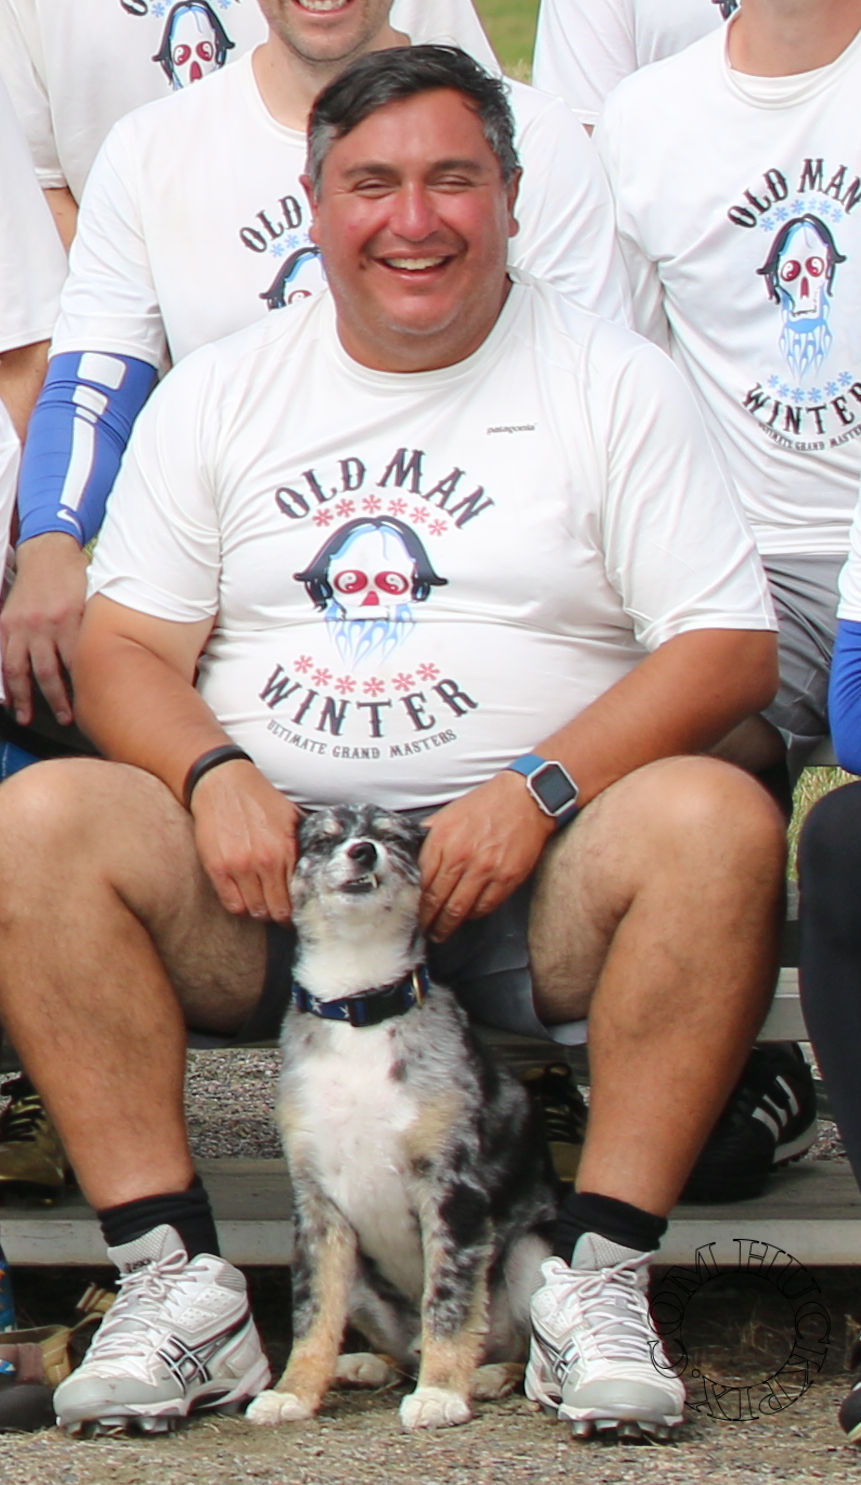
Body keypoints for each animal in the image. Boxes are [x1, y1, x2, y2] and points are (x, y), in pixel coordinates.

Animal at [246, 803, 558, 1432]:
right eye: (324, 840)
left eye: (390, 836)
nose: (363, 851)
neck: (360, 1008)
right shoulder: (316, 1208)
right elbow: (312, 1314)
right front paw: (294, 1391)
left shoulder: (453, 1191)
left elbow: (450, 1303)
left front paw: (440, 1393)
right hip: (363, 1274)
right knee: (391, 1346)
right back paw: (365, 1364)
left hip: (532, 1253)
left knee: (520, 1347)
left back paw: (482, 1376)